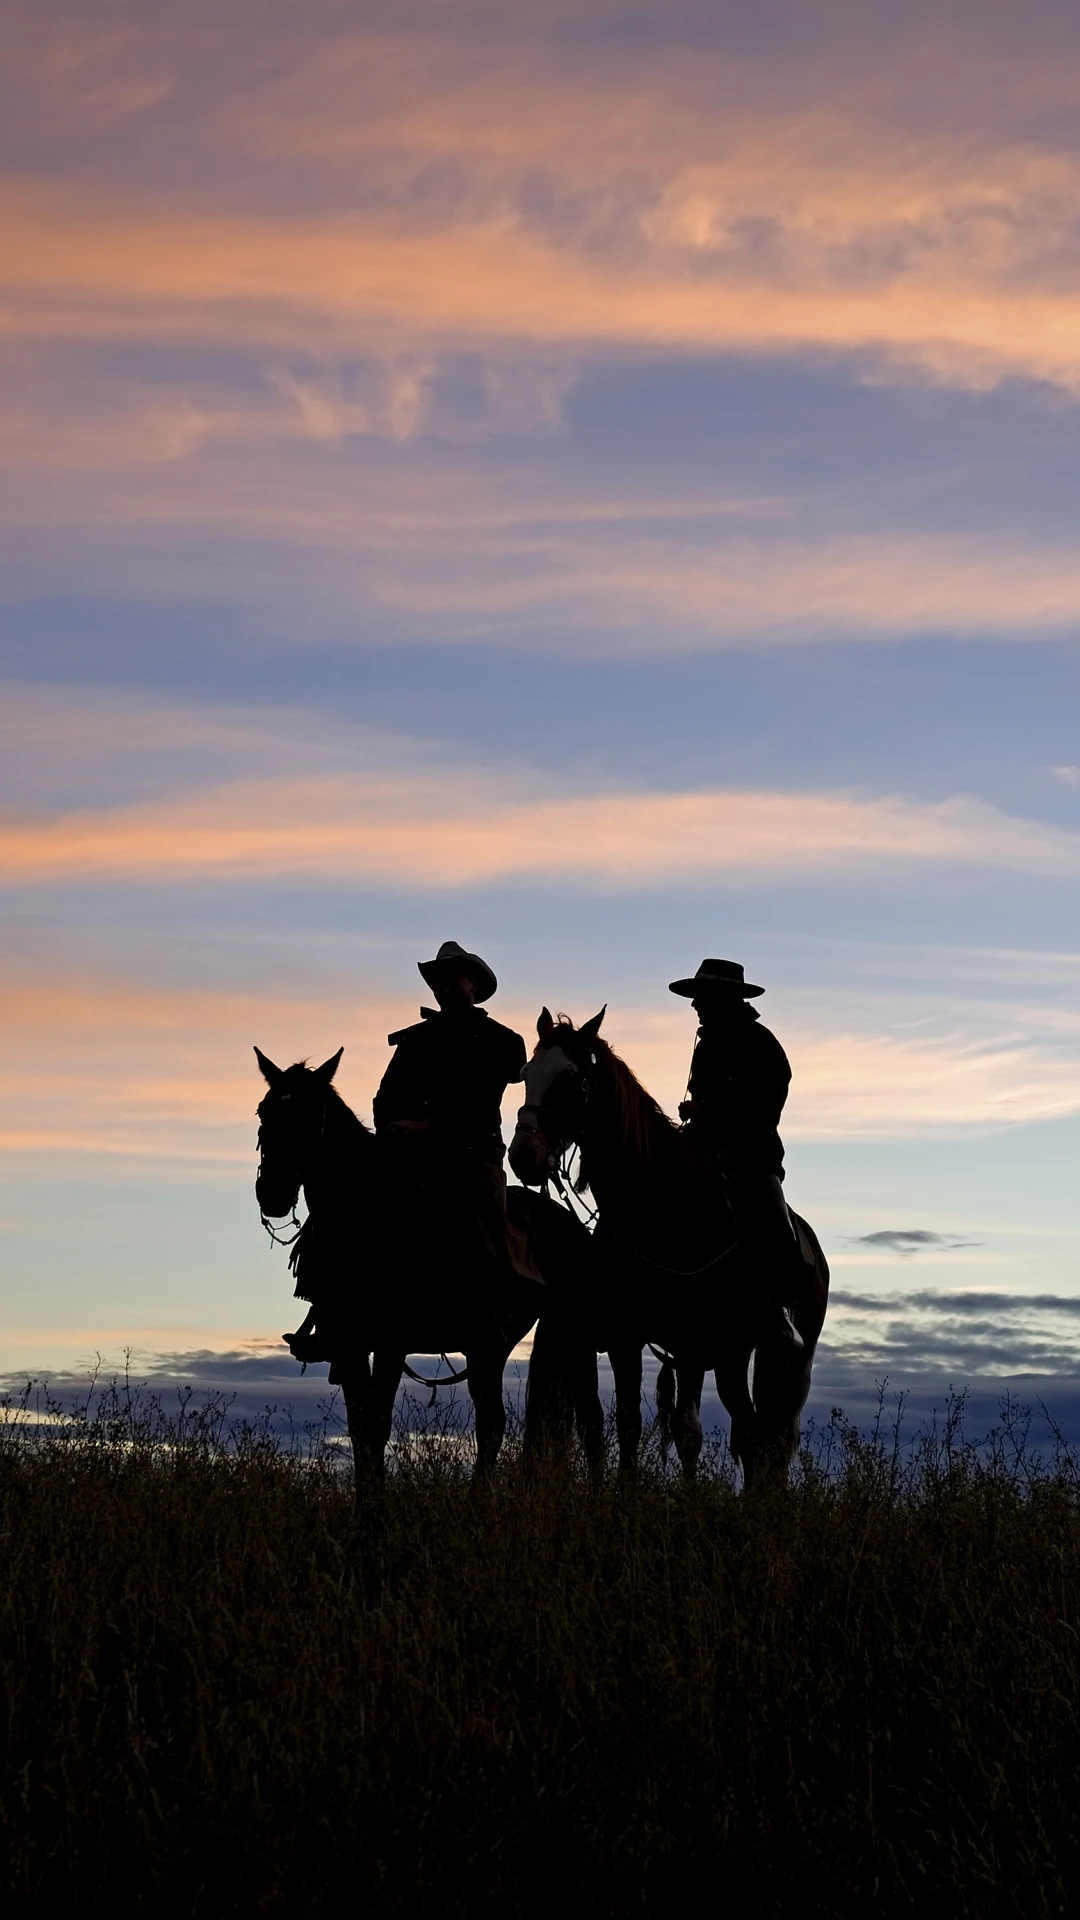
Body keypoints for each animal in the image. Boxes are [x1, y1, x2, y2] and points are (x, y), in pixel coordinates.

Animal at [255, 1052, 599, 1482]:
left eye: (310, 1114)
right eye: (264, 1110)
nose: (272, 1192)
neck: (367, 1220)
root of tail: (574, 1225)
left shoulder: (391, 1342)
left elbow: (376, 1427)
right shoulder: (349, 1344)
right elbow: (361, 1432)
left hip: (563, 1336)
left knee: (578, 1422)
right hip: (498, 1346)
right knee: (498, 1421)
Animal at [507, 1006, 826, 1482]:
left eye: (572, 1079)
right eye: (527, 1074)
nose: (522, 1155)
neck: (661, 1207)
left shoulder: (700, 1342)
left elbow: (701, 1434)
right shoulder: (629, 1338)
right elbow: (632, 1423)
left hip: (783, 1359)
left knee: (773, 1438)